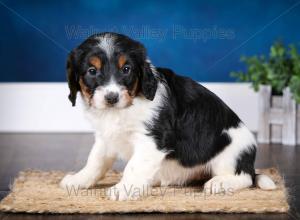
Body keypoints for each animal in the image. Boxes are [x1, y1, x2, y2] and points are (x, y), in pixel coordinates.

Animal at [61, 32, 276, 199]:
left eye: (126, 69)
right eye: (92, 71)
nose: (111, 98)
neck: (122, 109)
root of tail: (250, 163)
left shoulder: (151, 140)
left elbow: (133, 166)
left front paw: (123, 189)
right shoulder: (105, 137)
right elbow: (95, 160)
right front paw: (79, 180)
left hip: (230, 152)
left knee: (245, 178)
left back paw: (220, 183)